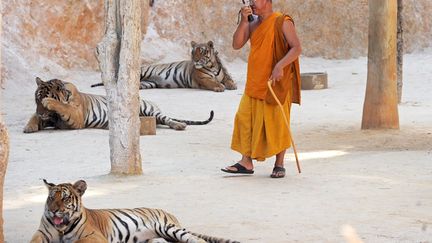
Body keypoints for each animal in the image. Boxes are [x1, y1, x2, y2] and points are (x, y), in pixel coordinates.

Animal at [23, 77, 213, 133]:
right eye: (35, 100)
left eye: (43, 101)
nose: (41, 112)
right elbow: (34, 117)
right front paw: (30, 126)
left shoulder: (75, 118)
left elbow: (62, 106)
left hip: (150, 109)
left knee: (167, 119)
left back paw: (179, 125)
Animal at [30, 178, 240, 243]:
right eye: (51, 198)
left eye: (65, 198)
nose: (53, 210)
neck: (61, 229)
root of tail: (171, 214)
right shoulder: (42, 234)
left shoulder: (93, 236)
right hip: (156, 238)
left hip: (168, 228)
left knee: (198, 240)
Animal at [91, 40, 238, 92]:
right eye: (193, 52)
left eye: (201, 51)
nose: (195, 61)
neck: (212, 65)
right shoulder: (203, 79)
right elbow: (212, 82)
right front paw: (219, 87)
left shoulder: (223, 75)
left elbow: (228, 79)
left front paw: (232, 85)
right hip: (142, 73)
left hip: (148, 83)